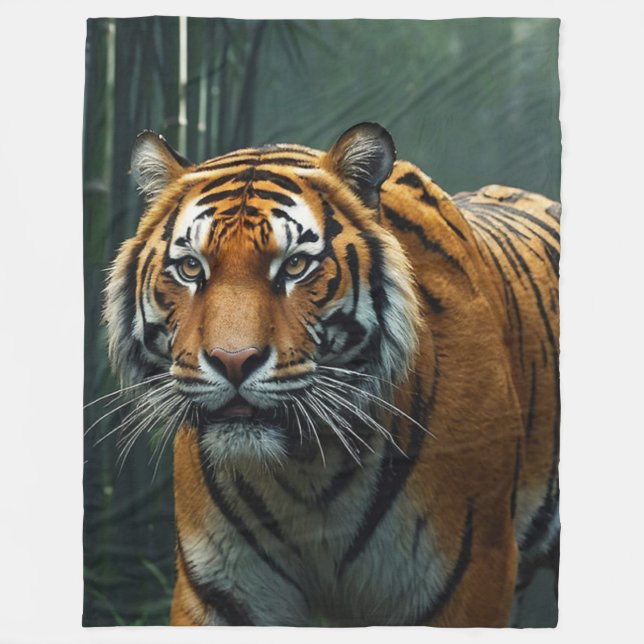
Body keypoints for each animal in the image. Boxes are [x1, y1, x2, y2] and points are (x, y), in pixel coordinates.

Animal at [104, 122, 560, 627]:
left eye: (295, 266)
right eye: (190, 268)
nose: (233, 360)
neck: (307, 471)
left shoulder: (475, 570)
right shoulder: (218, 591)